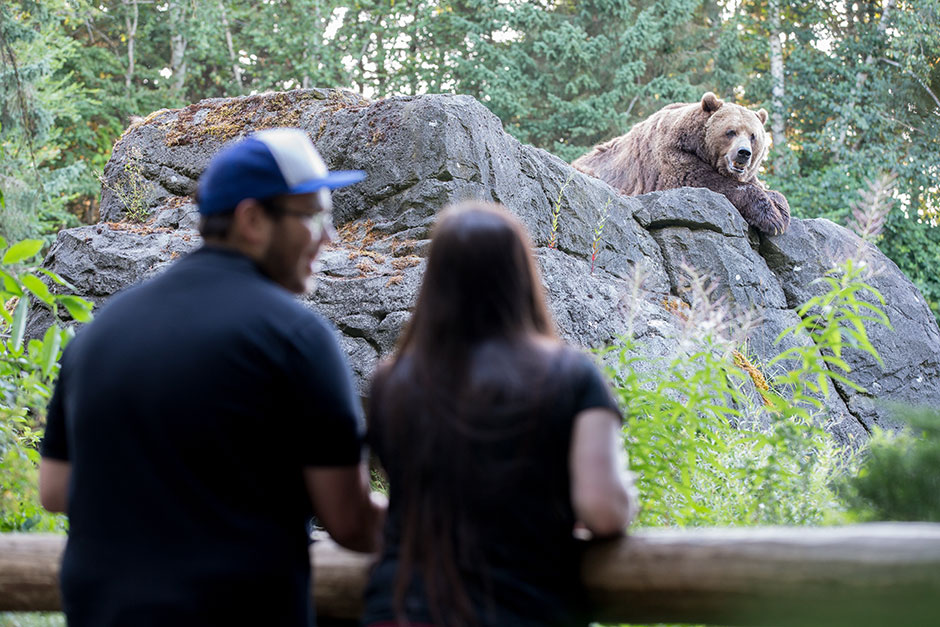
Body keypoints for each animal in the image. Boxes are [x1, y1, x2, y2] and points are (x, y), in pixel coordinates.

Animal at [572, 92, 790, 235]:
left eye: (753, 136)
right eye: (731, 131)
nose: (744, 153)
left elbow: (765, 188)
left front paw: (781, 211)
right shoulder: (672, 156)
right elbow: (705, 181)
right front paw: (772, 219)